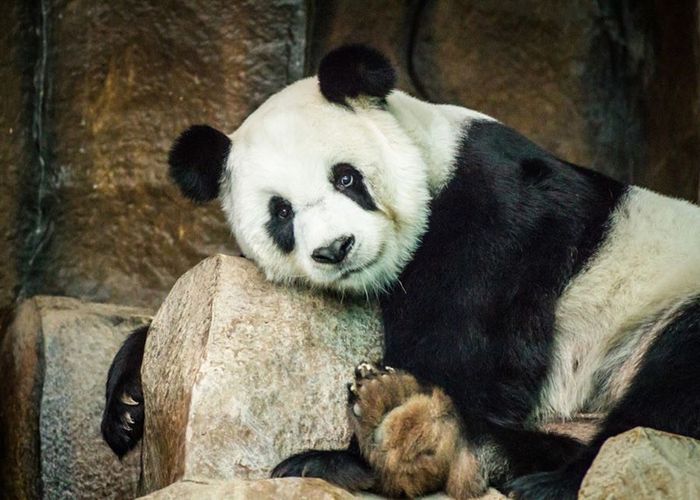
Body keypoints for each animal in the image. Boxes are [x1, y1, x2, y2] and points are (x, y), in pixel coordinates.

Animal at [102, 45, 700, 498]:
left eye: (345, 177)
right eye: (281, 212)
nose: (336, 248)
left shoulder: (499, 214)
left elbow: (466, 351)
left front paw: (350, 454)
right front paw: (129, 402)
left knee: (670, 384)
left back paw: (550, 480)